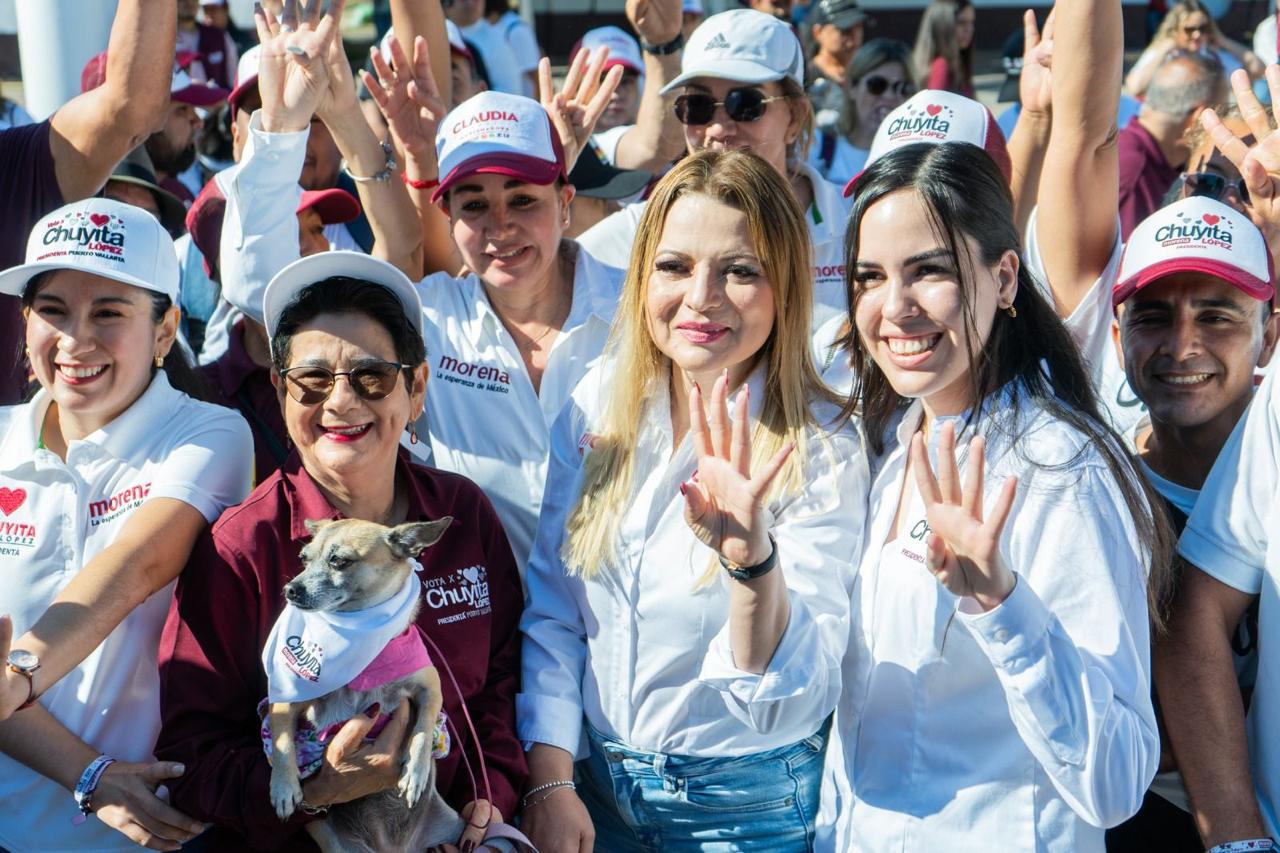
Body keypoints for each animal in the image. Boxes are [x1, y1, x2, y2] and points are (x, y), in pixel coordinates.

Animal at [264, 512, 471, 850]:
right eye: (303, 559)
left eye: (339, 561)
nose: (290, 589)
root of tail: (395, 848)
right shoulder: (286, 700)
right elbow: (282, 741)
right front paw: (283, 787)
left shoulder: (431, 688)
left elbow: (424, 730)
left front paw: (415, 772)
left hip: (454, 828)